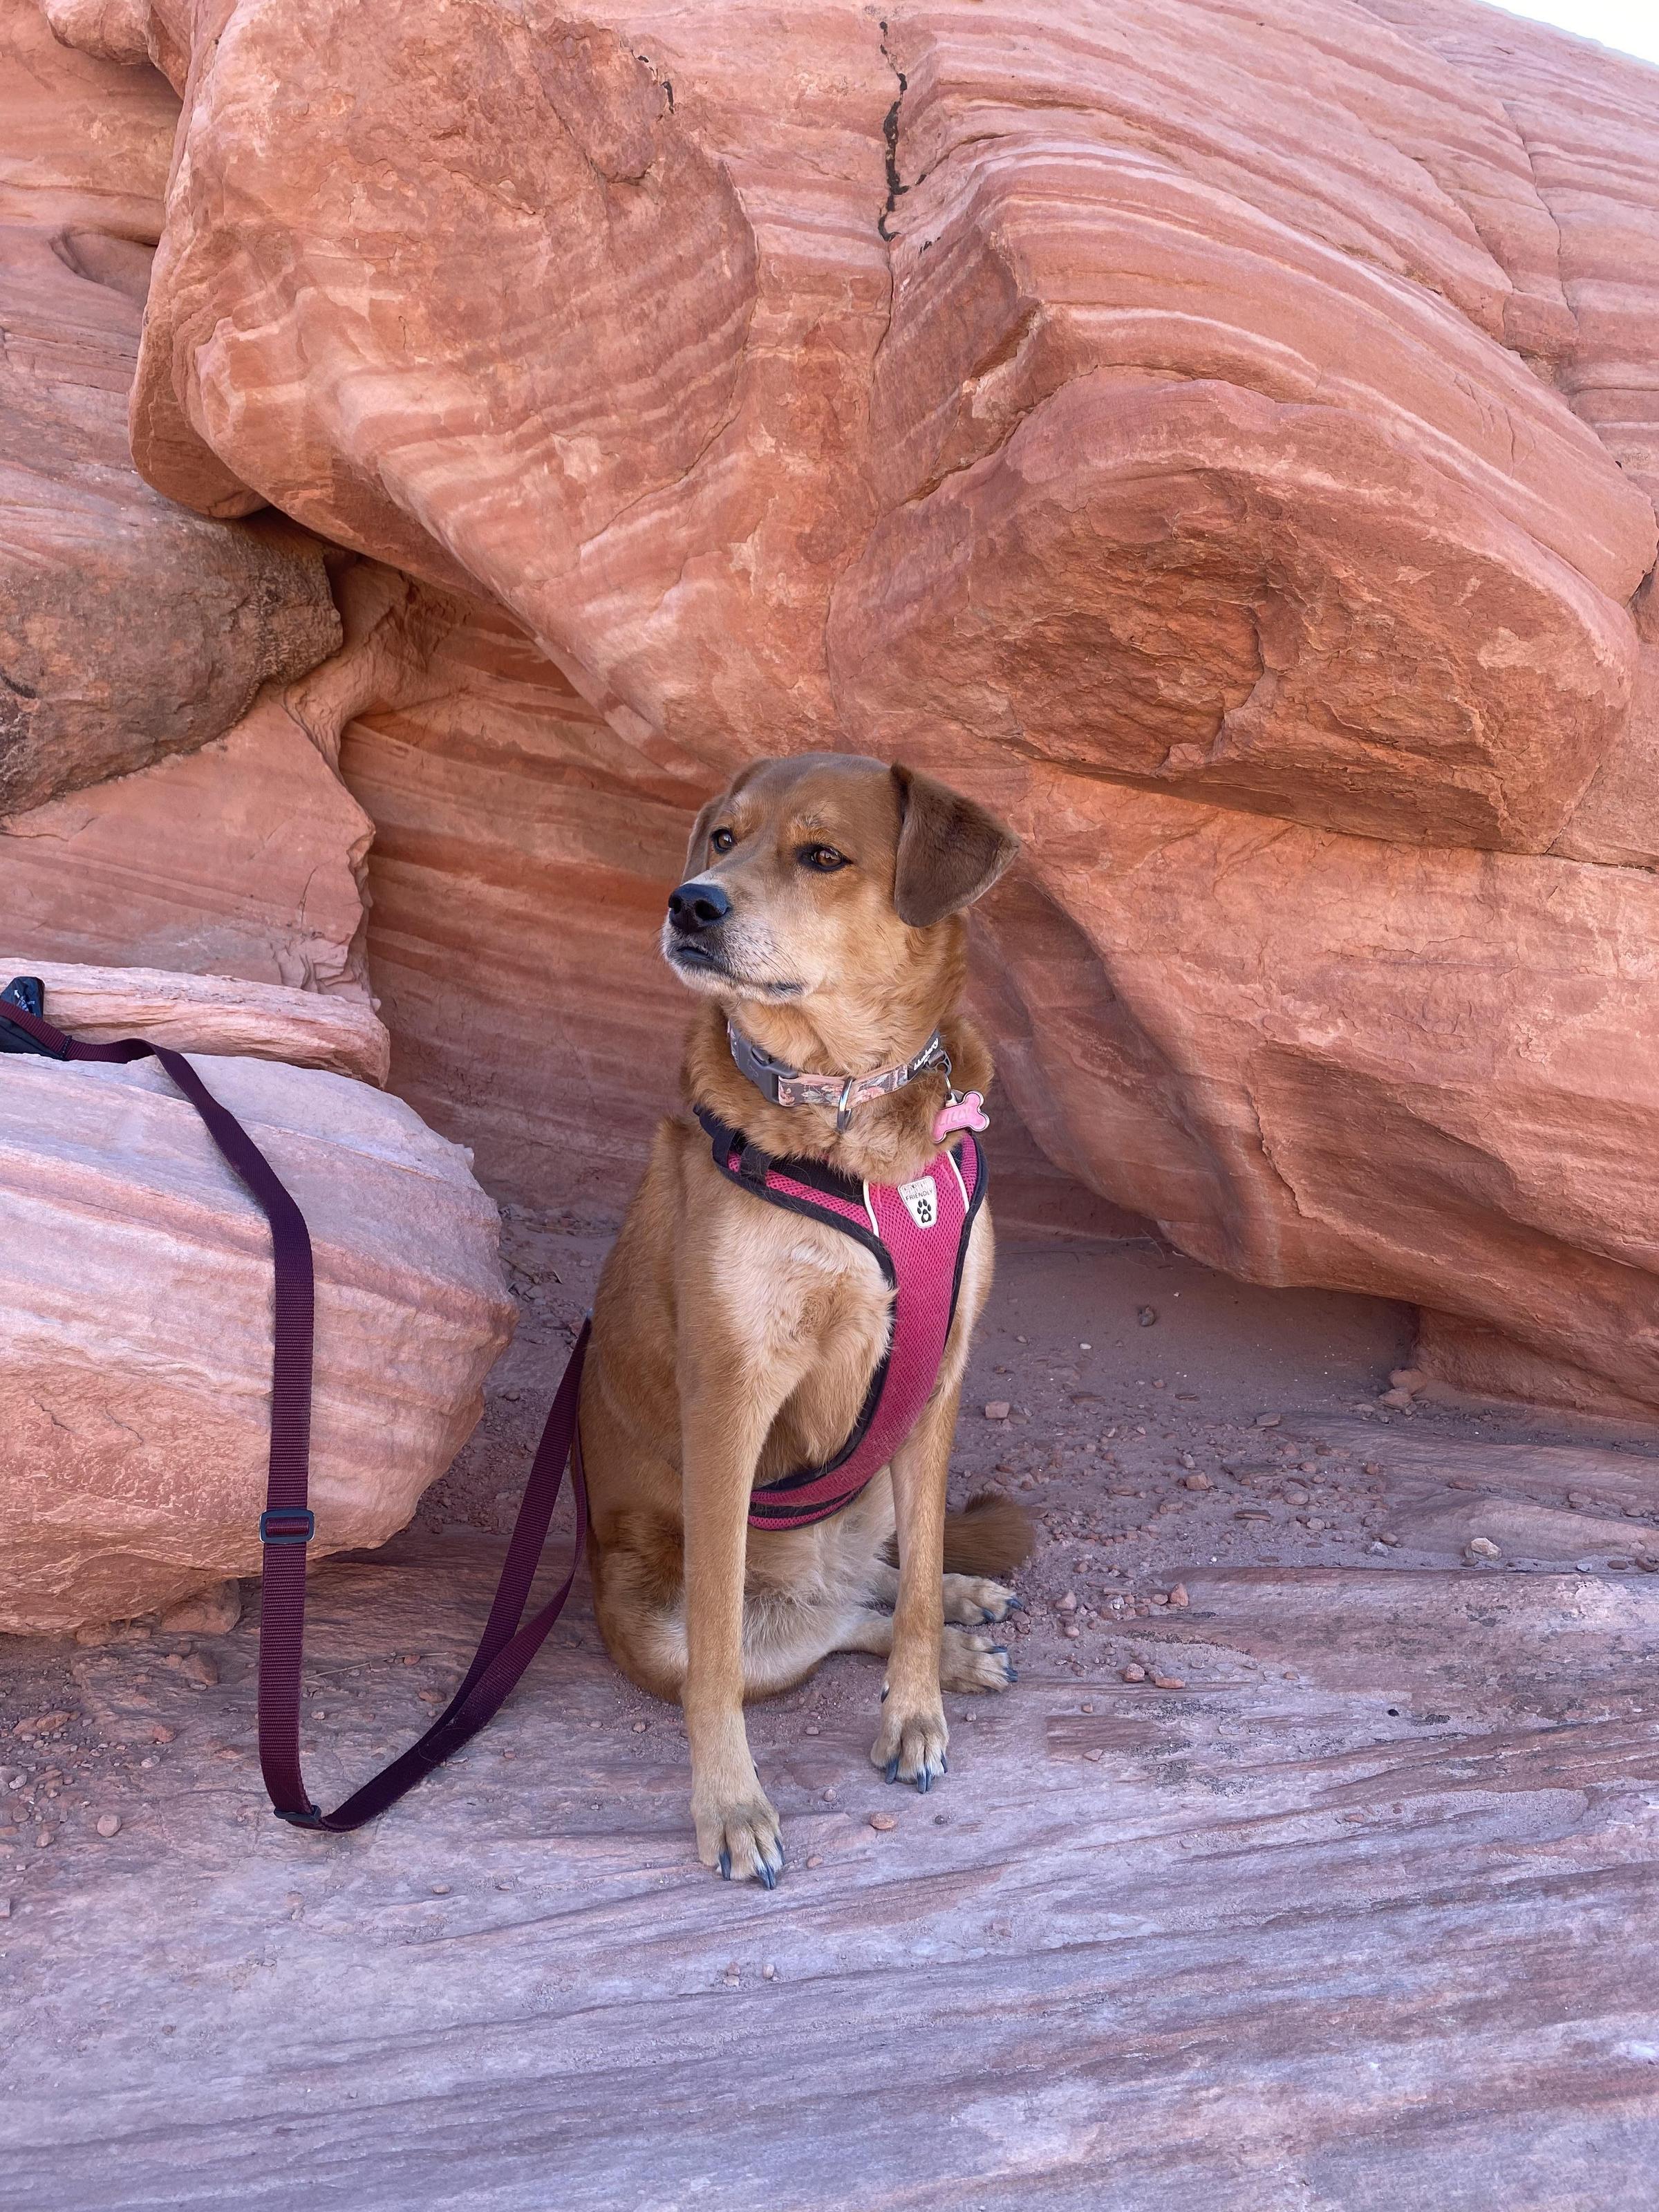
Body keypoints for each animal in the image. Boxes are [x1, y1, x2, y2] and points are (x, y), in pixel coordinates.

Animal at [579, 760, 1035, 1884]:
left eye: (822, 855)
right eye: (723, 839)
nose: (690, 903)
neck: (845, 1101)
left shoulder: (941, 1372)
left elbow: (917, 1573)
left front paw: (916, 1709)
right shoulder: (730, 1395)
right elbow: (717, 1661)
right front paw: (731, 1807)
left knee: (883, 1580)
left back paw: (956, 1612)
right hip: (651, 1617)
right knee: (816, 1628)